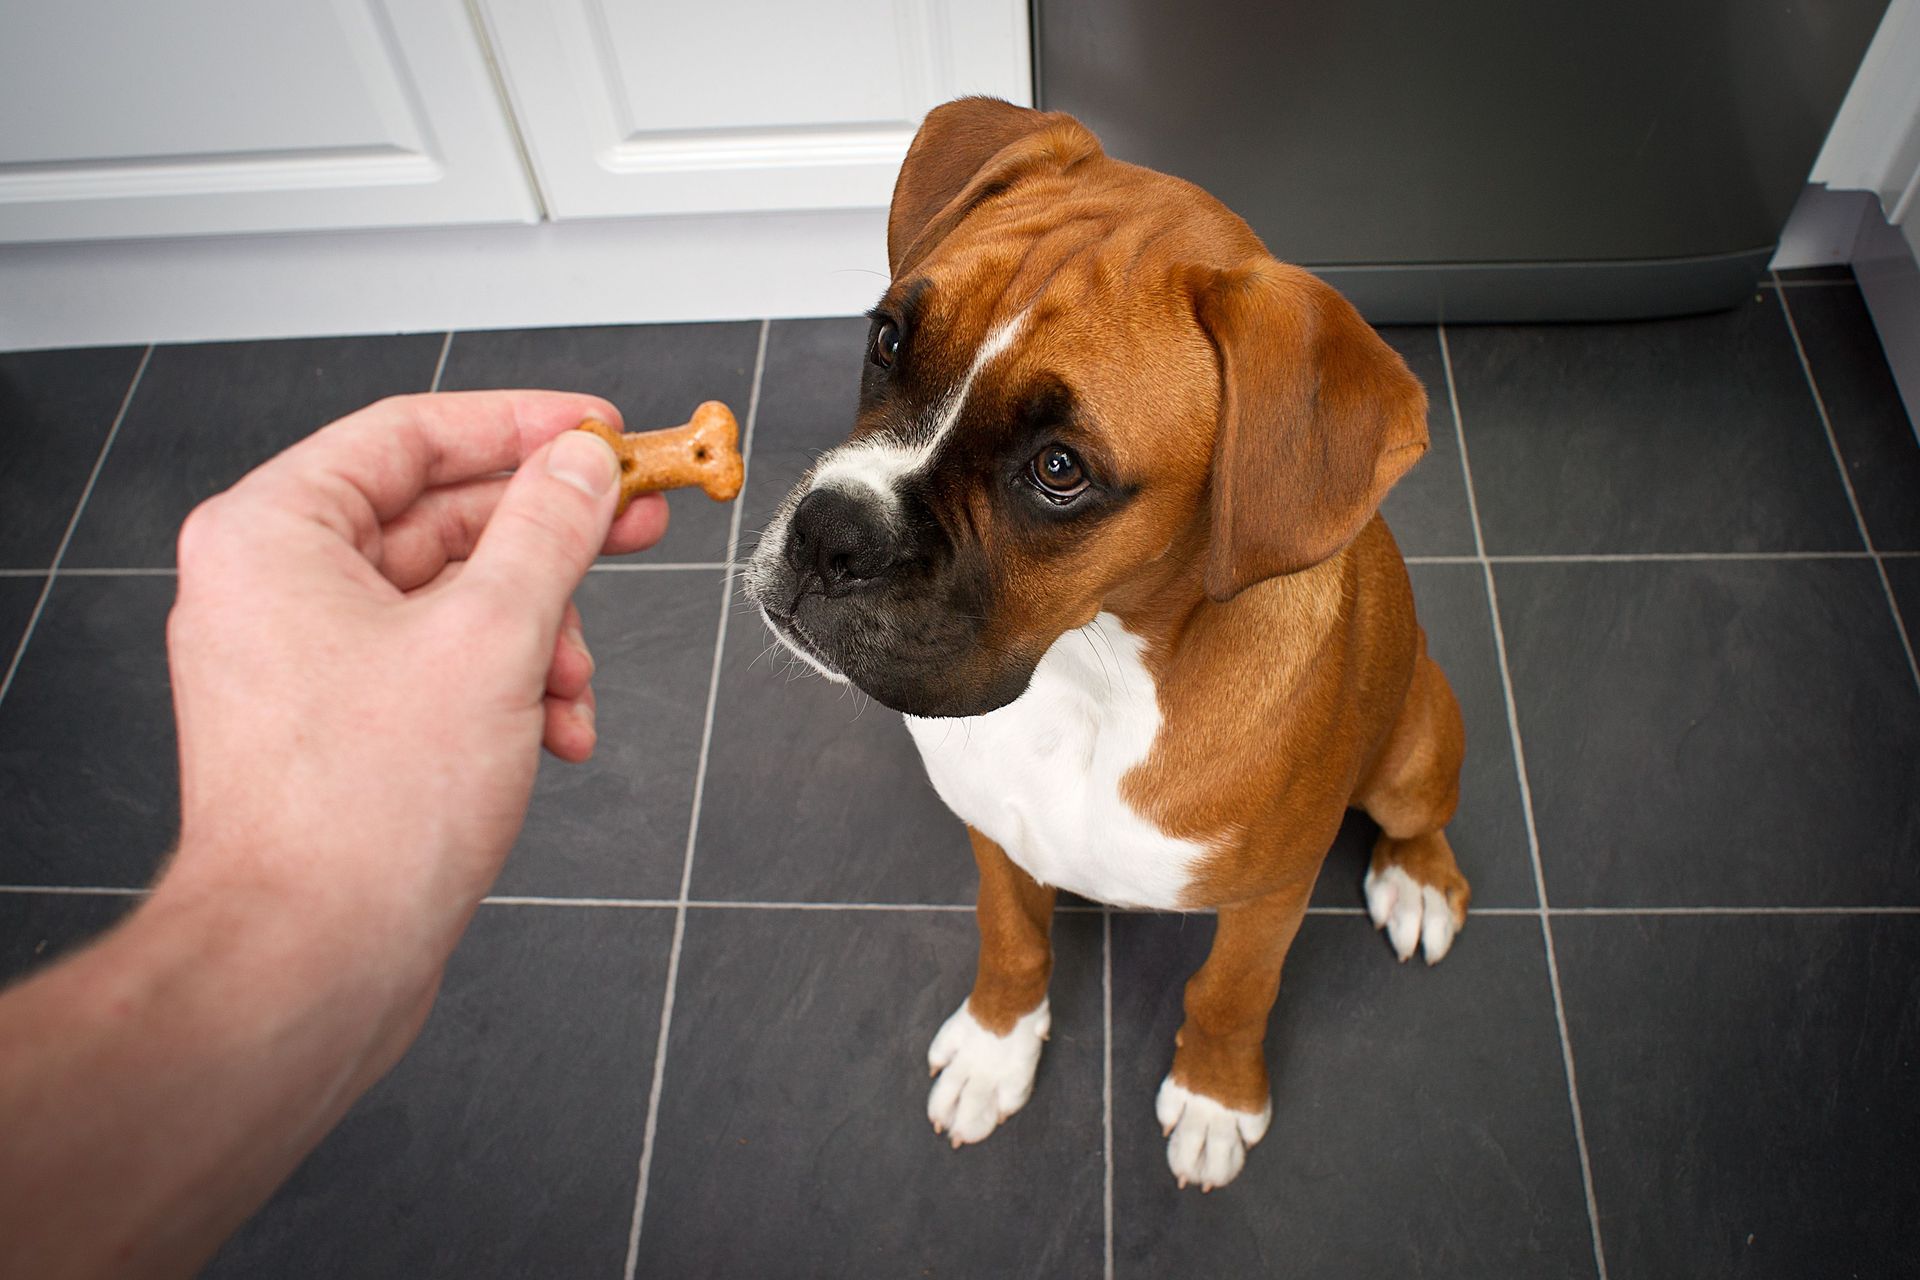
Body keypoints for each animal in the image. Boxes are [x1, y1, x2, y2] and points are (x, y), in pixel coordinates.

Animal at [741, 97, 1459, 1189]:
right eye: (890, 338)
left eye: (1060, 470)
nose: (831, 534)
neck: (1091, 670)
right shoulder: (995, 833)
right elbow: (1011, 939)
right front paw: (995, 1048)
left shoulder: (1270, 897)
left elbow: (1231, 993)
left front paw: (1215, 1097)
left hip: (1415, 740)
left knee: (1422, 817)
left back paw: (1417, 882)